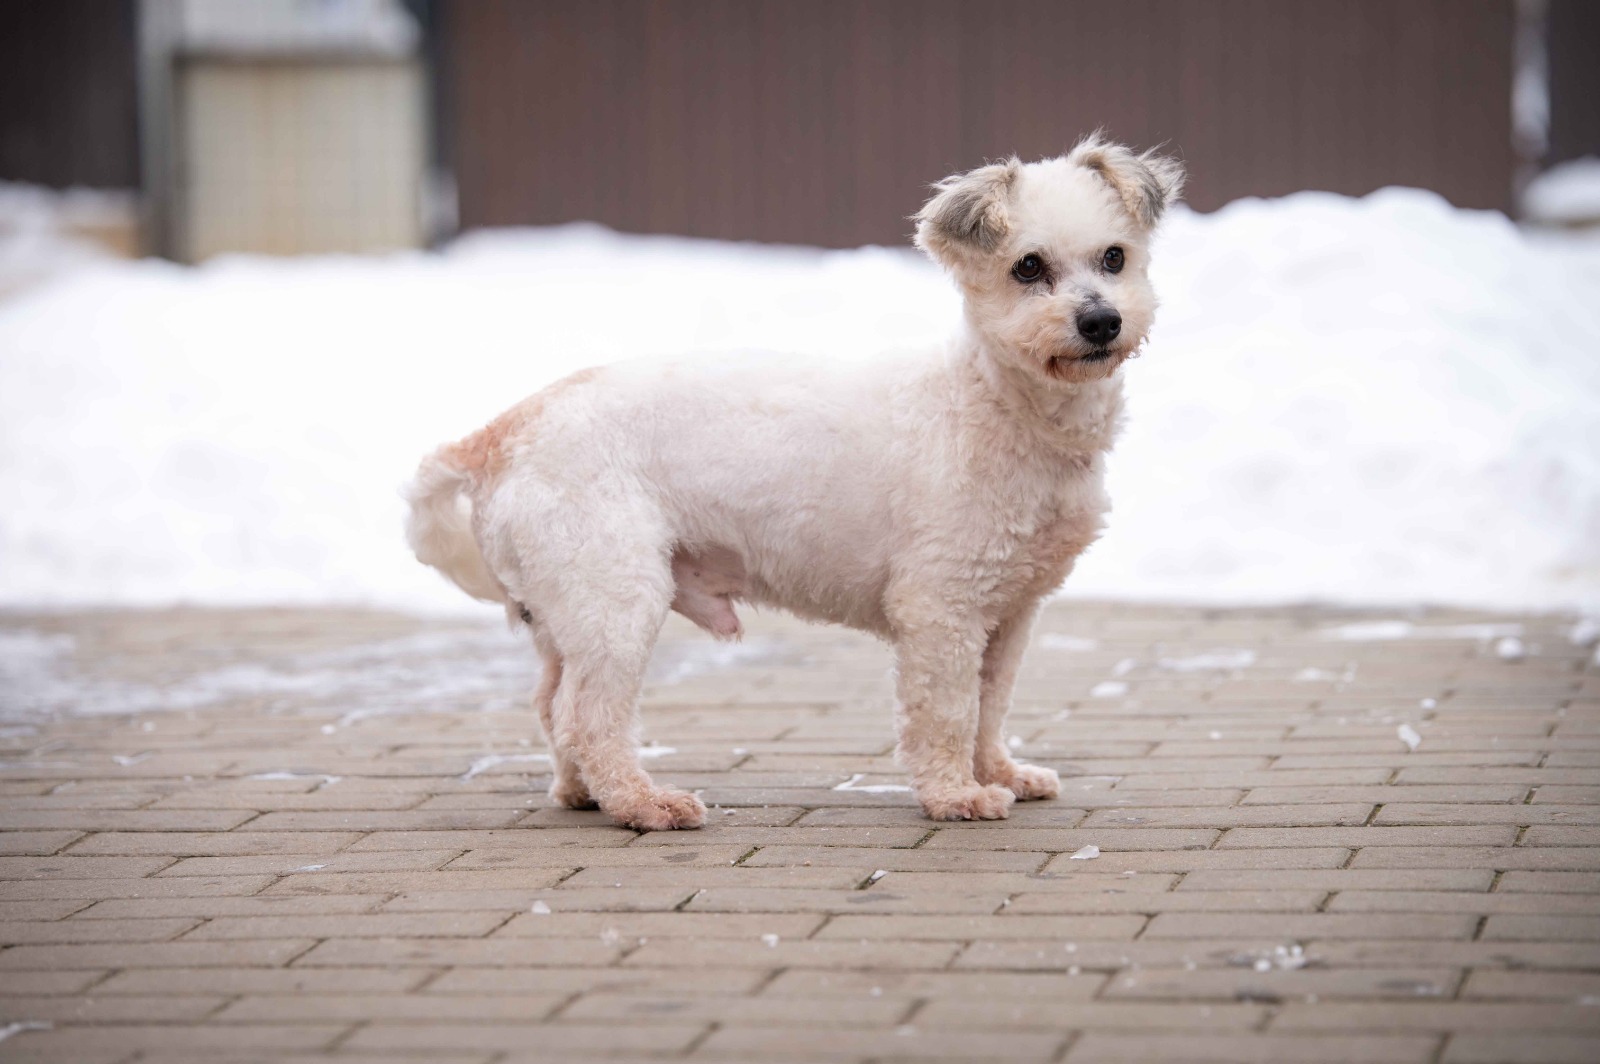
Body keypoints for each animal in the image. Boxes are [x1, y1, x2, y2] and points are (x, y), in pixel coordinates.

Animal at [405, 134, 1184, 830]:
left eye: (1115, 257)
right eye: (1028, 267)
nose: (1101, 321)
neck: (994, 403)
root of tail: (502, 433)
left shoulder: (1010, 614)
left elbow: (990, 707)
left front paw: (1000, 773)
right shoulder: (942, 610)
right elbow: (947, 712)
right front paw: (955, 794)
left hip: (563, 614)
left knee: (552, 707)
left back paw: (583, 794)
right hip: (615, 599)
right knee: (587, 716)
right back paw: (642, 804)